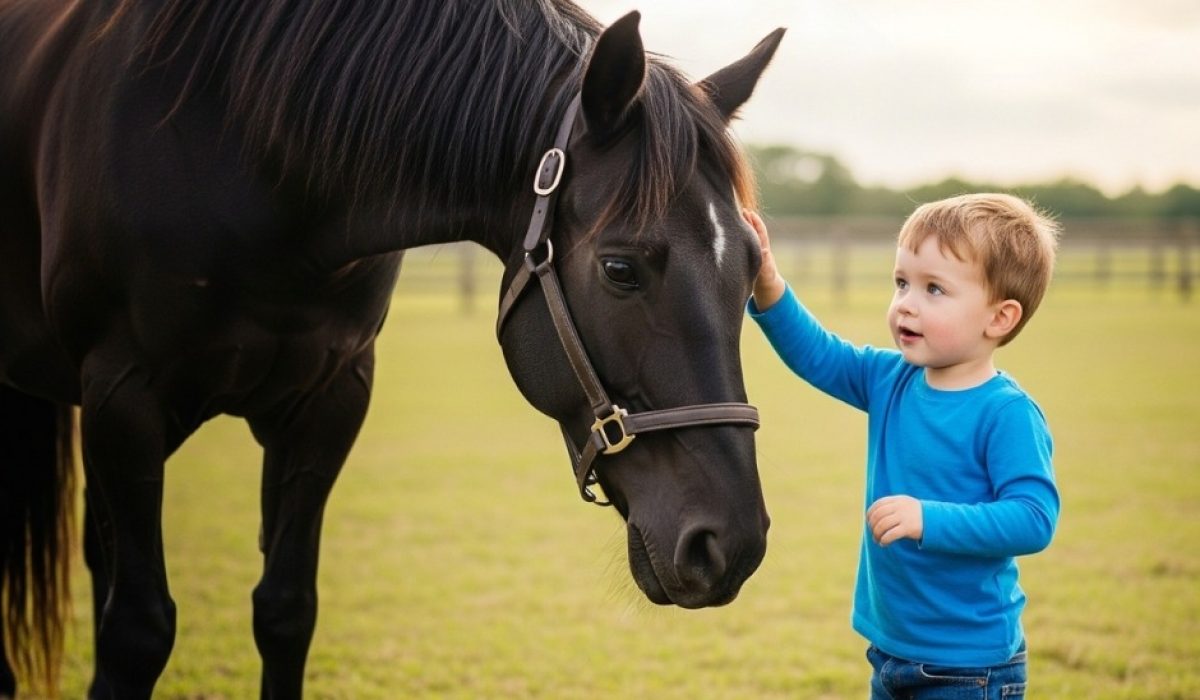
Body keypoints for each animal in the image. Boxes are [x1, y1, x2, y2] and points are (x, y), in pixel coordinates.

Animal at [0, 1, 784, 697]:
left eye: (752, 269)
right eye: (621, 268)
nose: (730, 544)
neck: (243, 143)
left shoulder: (328, 401)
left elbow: (285, 611)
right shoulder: (124, 398)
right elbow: (137, 630)